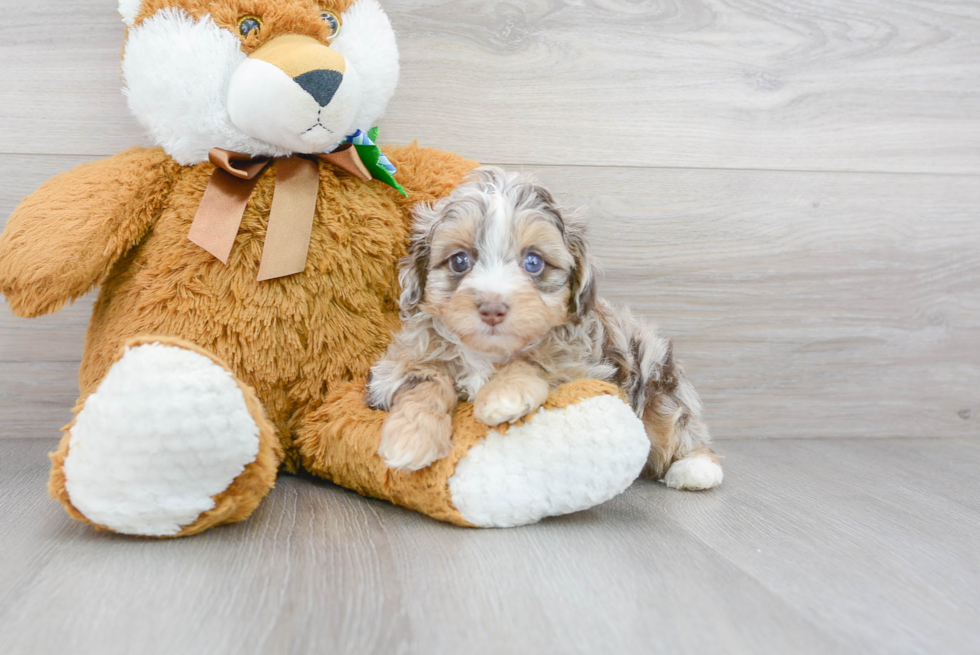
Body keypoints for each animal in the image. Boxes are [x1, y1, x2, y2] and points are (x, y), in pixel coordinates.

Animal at [368, 169, 720, 492]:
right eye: (459, 261)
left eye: (534, 262)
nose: (492, 308)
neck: (487, 352)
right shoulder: (392, 370)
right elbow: (424, 380)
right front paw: (410, 437)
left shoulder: (583, 368)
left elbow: (539, 360)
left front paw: (504, 395)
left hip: (655, 373)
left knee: (678, 427)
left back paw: (696, 468)